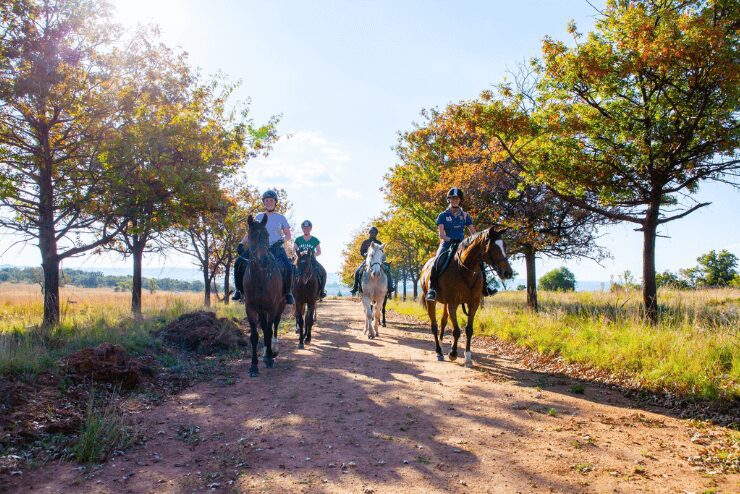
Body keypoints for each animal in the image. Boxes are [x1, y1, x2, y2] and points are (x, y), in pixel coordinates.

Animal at [241, 214, 284, 376]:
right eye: (251, 236)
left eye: (267, 235)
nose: (265, 260)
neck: (260, 278)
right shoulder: (250, 307)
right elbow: (255, 335)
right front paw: (253, 366)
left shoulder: (272, 307)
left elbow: (269, 331)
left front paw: (270, 359)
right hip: (261, 309)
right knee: (265, 327)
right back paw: (266, 353)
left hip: (280, 305)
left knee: (274, 325)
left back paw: (273, 351)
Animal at [420, 228, 512, 366]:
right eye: (493, 247)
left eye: (505, 245)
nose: (508, 272)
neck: (465, 269)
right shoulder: (453, 303)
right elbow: (457, 330)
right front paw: (453, 353)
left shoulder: (473, 303)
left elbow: (469, 330)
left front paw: (468, 357)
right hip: (431, 301)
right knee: (434, 326)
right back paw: (439, 352)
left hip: (445, 303)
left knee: (442, 322)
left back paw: (441, 345)